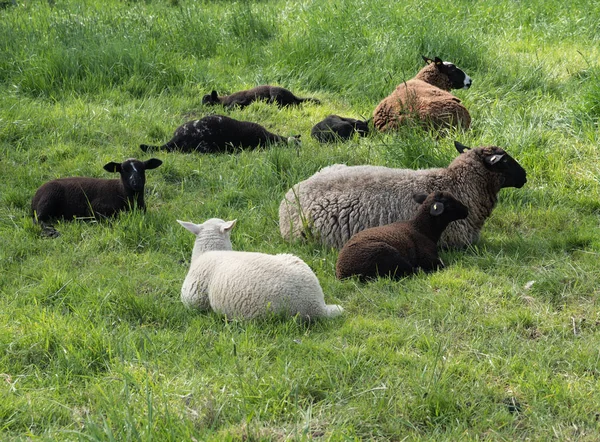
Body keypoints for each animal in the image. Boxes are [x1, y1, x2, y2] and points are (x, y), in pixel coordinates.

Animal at [30, 158, 162, 237]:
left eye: (143, 169)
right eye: (124, 169)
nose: (136, 182)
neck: (122, 193)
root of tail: (35, 196)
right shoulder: (94, 208)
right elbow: (112, 219)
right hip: (48, 199)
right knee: (38, 219)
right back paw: (51, 231)